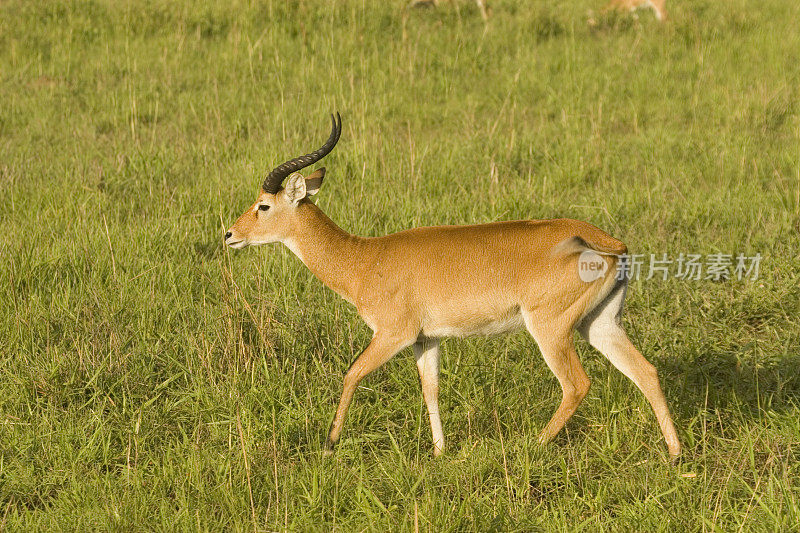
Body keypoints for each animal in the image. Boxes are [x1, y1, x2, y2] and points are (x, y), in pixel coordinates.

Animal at [223, 112, 680, 458]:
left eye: (263, 206)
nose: (229, 235)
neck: (365, 259)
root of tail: (604, 241)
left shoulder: (394, 334)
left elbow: (351, 374)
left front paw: (330, 443)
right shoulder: (427, 339)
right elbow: (431, 389)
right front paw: (440, 452)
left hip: (550, 328)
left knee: (577, 384)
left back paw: (532, 445)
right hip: (599, 324)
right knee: (646, 372)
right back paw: (676, 456)